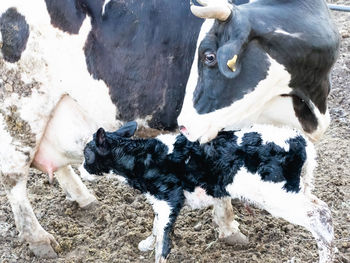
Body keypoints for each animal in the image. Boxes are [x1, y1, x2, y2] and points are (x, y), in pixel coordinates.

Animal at [82, 122, 334, 263]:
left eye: (86, 154)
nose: (82, 170)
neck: (141, 157)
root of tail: (300, 139)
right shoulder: (161, 202)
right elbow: (156, 226)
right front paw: (146, 243)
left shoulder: (169, 198)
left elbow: (163, 240)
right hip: (298, 190)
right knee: (322, 209)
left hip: (278, 195)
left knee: (319, 216)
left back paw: (325, 258)